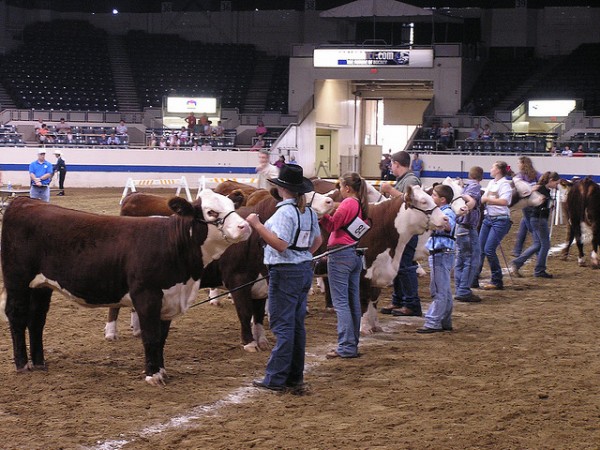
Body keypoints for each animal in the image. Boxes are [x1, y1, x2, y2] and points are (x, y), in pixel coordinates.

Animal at [0, 192, 251, 384]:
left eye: (232, 207)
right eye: (211, 212)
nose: (244, 226)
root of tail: (24, 201)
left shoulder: (168, 298)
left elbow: (161, 338)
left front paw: (161, 370)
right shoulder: (147, 296)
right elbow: (150, 336)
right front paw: (152, 376)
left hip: (41, 286)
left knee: (36, 320)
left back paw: (40, 362)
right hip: (17, 279)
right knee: (17, 315)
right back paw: (22, 364)